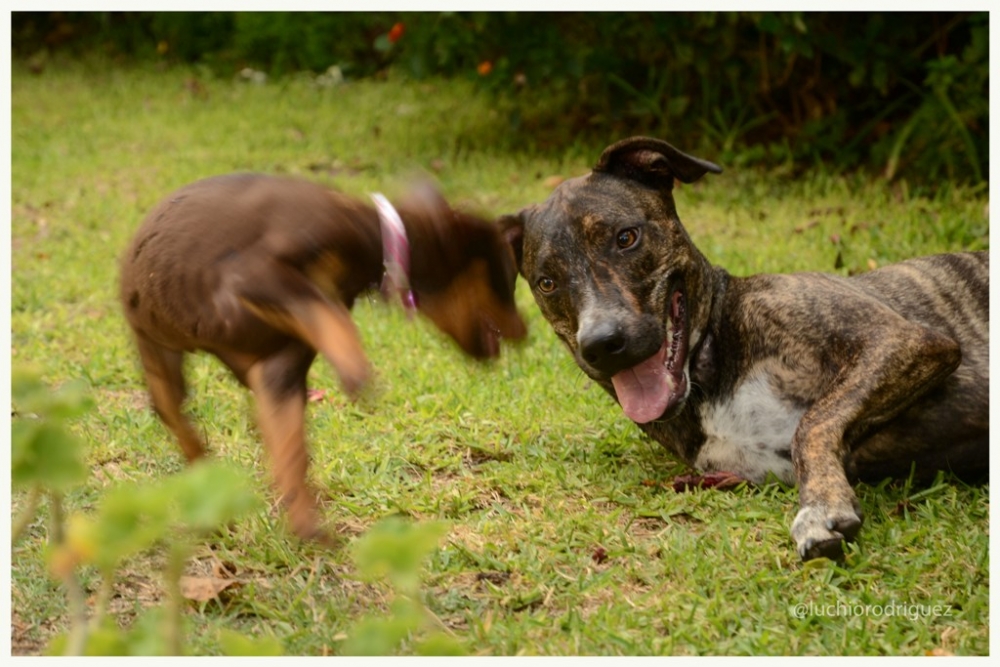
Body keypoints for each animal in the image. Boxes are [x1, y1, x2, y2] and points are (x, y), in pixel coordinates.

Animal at [121, 175, 528, 544]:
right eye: (507, 278)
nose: (526, 332)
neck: (377, 236)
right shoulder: (255, 274)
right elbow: (326, 311)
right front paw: (354, 367)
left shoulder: (279, 371)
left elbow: (292, 453)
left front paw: (304, 522)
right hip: (159, 353)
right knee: (176, 417)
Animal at [504, 138, 988, 560]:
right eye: (547, 282)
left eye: (626, 238)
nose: (603, 344)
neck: (709, 370)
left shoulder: (902, 339)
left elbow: (812, 422)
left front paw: (820, 509)